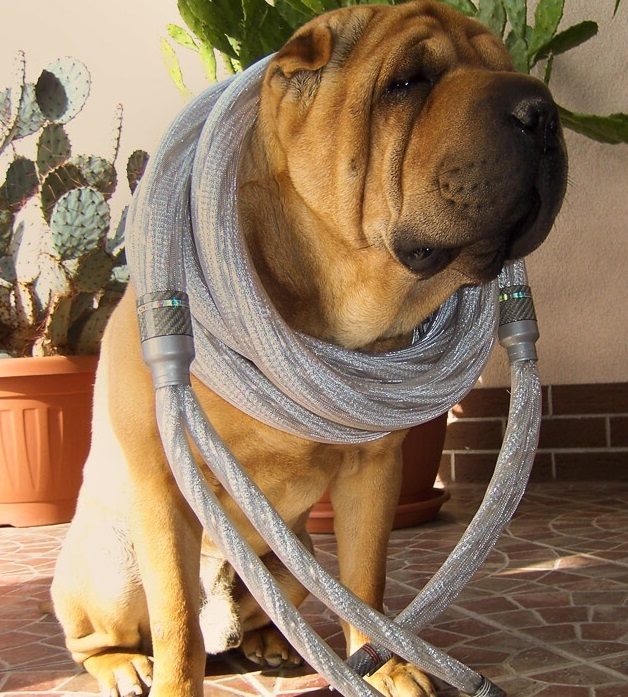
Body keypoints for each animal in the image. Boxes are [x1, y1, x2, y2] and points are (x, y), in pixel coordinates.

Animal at [51, 2, 567, 695]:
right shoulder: (162, 482)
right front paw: (174, 682)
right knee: (106, 633)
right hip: (113, 566)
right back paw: (123, 664)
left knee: (278, 605)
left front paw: (390, 667)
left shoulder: (373, 473)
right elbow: (177, 621)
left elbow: (366, 584)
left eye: (504, 66)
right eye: (408, 82)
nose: (540, 109)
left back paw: (272, 644)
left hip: (294, 559)